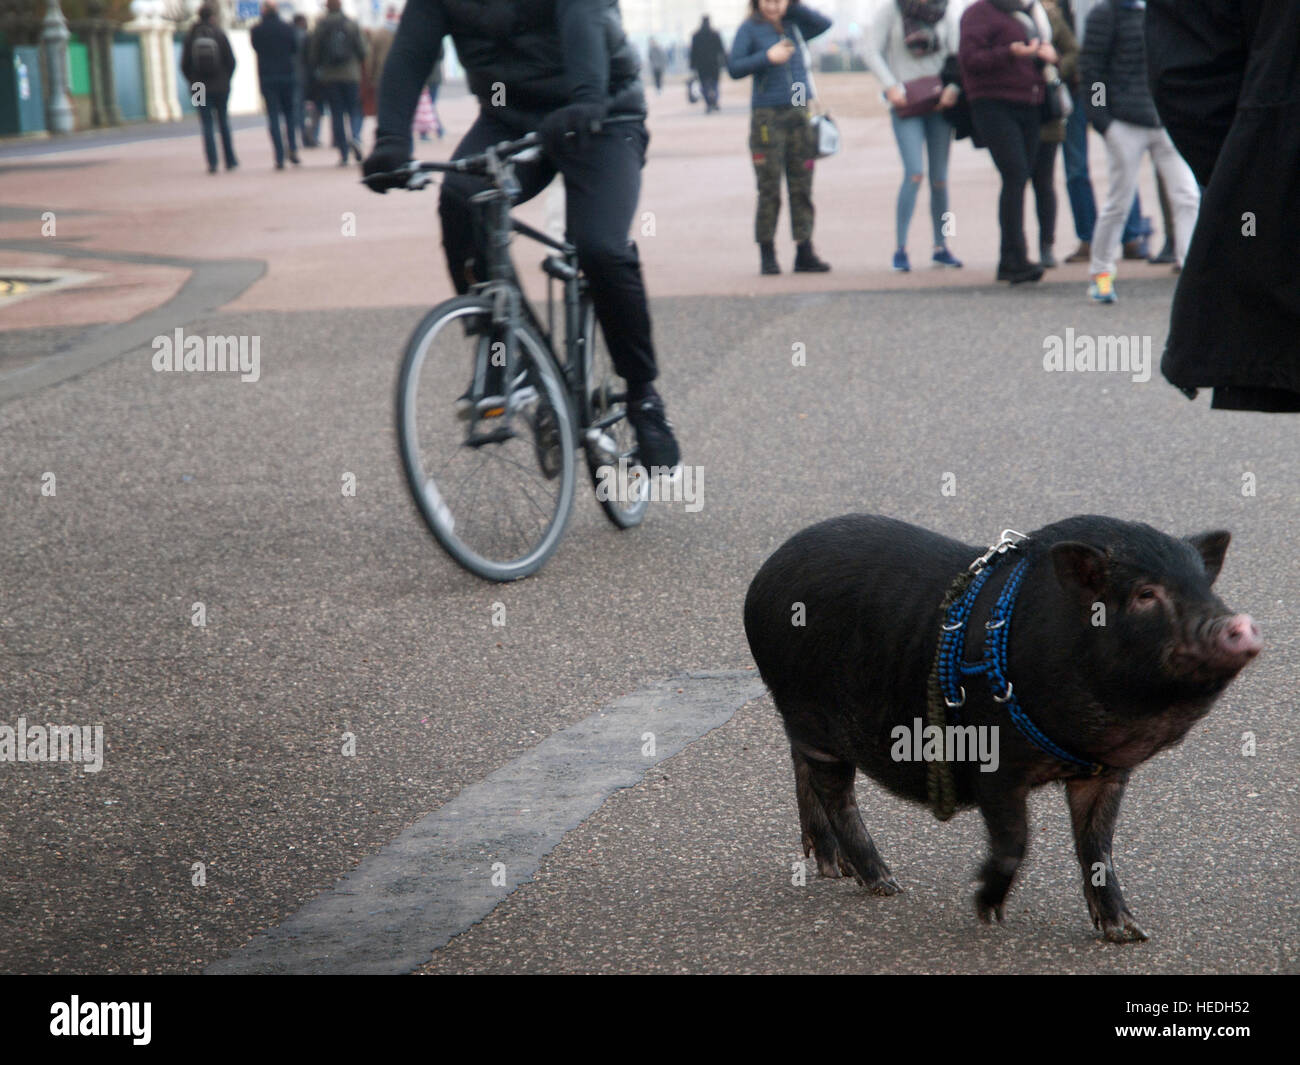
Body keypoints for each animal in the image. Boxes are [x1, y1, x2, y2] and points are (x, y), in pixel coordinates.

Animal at [743, 515, 1261, 942]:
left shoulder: (1107, 773)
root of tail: (763, 575)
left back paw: (834, 869)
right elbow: (1016, 838)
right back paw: (885, 883)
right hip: (811, 715)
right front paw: (986, 911)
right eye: (1145, 595)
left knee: (802, 770)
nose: (1237, 623)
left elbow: (1097, 847)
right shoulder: (992, 758)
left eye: (1207, 589)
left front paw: (1128, 933)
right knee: (836, 794)